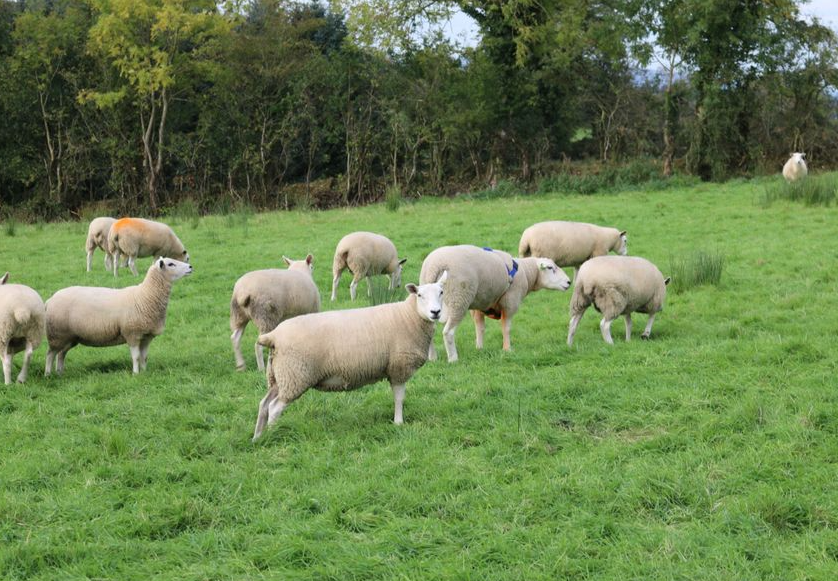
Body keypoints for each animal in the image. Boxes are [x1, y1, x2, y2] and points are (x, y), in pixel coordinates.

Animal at [45, 256, 193, 374]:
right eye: (171, 264)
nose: (190, 267)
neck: (145, 296)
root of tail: (50, 299)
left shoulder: (147, 336)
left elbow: (144, 357)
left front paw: (145, 371)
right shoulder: (132, 333)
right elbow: (136, 357)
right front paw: (136, 374)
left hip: (70, 337)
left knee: (61, 354)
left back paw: (60, 372)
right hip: (56, 334)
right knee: (50, 354)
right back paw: (48, 375)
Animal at [251, 270, 450, 440]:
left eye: (441, 292)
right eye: (420, 295)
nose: (435, 312)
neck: (409, 316)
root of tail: (273, 336)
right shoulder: (399, 367)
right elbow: (399, 398)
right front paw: (399, 423)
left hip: (278, 376)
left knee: (263, 405)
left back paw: (258, 438)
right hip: (295, 375)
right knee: (275, 408)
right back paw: (274, 434)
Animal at [418, 245, 572, 362]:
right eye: (551, 268)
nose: (569, 282)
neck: (526, 272)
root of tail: (435, 265)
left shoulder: (478, 306)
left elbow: (480, 328)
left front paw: (479, 348)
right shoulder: (510, 302)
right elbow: (506, 328)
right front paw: (507, 349)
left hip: (430, 304)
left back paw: (432, 358)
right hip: (459, 299)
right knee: (448, 332)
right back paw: (453, 359)